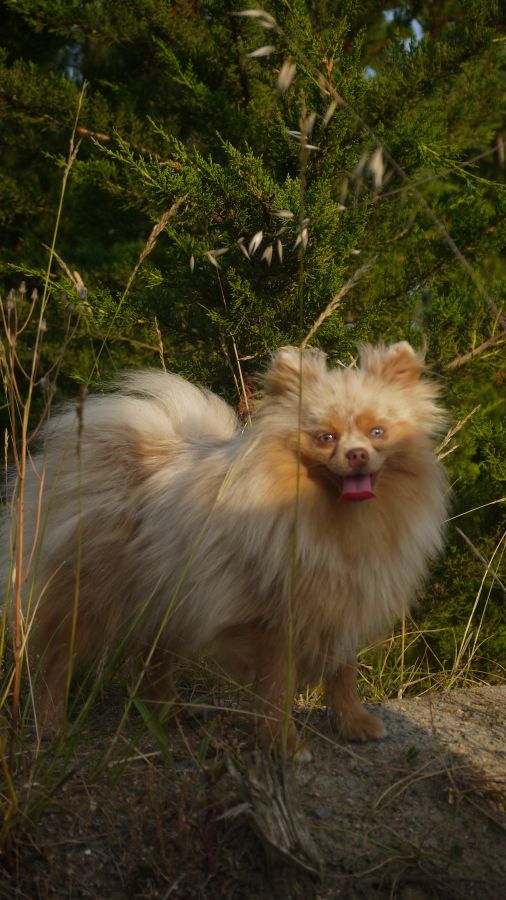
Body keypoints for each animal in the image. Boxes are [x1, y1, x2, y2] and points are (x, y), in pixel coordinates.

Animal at [3, 342, 448, 754]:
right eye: (326, 438)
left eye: (378, 433)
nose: (356, 455)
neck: (338, 518)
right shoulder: (274, 620)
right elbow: (276, 687)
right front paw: (282, 744)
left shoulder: (339, 603)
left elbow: (343, 671)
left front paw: (353, 722)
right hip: (90, 596)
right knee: (54, 663)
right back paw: (52, 727)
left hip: (165, 596)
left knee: (151, 660)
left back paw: (170, 712)